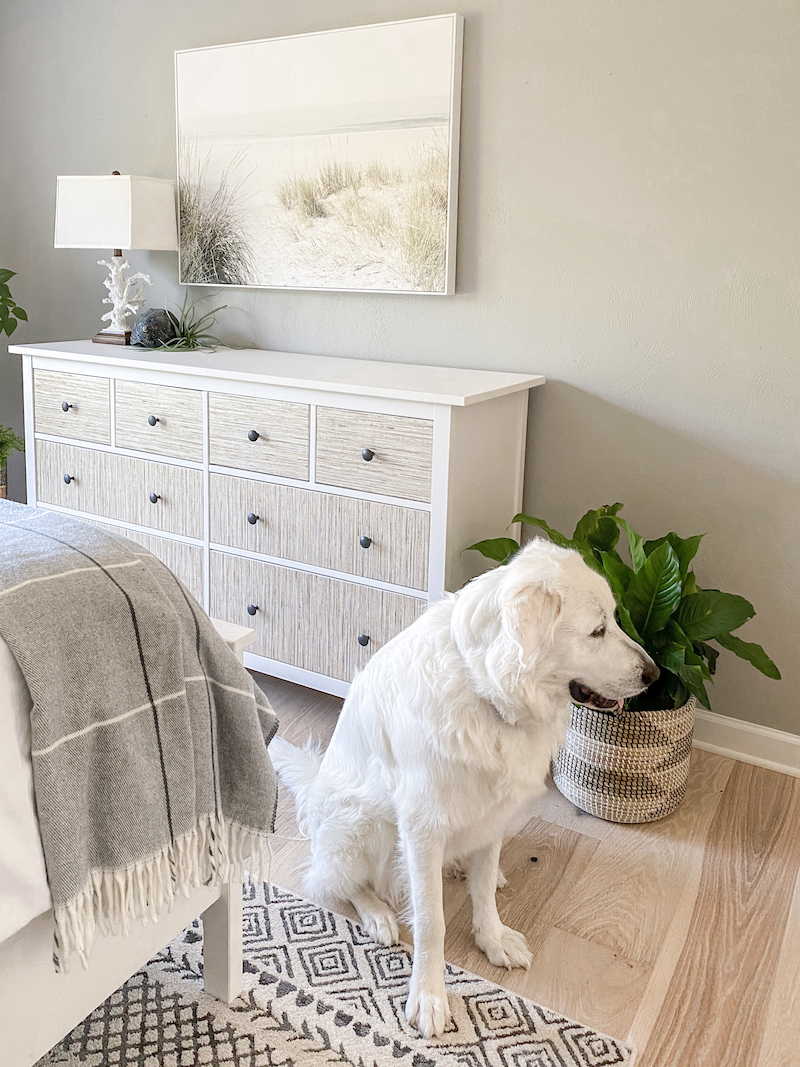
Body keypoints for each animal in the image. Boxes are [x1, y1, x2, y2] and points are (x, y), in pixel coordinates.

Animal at [273, 542, 661, 1032]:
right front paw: (429, 995)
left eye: (615, 618)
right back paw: (377, 914)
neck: (485, 691)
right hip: (358, 820)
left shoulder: (494, 812)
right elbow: (431, 921)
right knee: (335, 880)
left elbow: (483, 891)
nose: (655, 675)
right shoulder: (422, 828)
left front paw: (491, 937)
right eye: (597, 630)